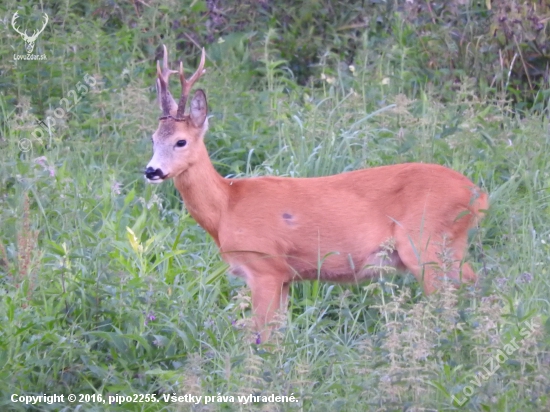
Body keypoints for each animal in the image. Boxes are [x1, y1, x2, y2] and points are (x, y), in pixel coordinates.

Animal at [144, 45, 490, 342]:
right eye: (153, 138)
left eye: (180, 141)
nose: (151, 171)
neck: (227, 207)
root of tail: (479, 195)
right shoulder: (286, 277)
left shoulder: (265, 266)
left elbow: (264, 338)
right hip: (448, 244)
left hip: (425, 241)